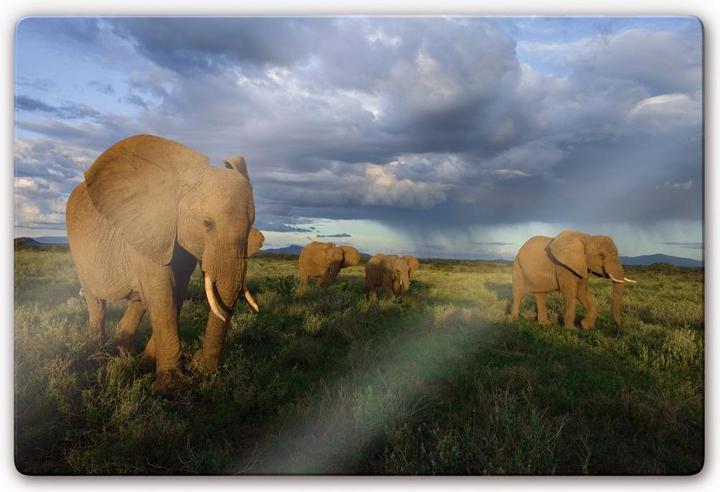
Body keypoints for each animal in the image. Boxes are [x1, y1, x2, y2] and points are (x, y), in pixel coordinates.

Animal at [66, 134, 259, 394]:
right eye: (207, 223)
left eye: (251, 226)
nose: (198, 364)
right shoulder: (149, 230)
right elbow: (163, 294)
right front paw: (171, 387)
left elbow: (174, 294)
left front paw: (148, 366)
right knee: (97, 302)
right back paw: (98, 355)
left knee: (138, 301)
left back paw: (124, 356)